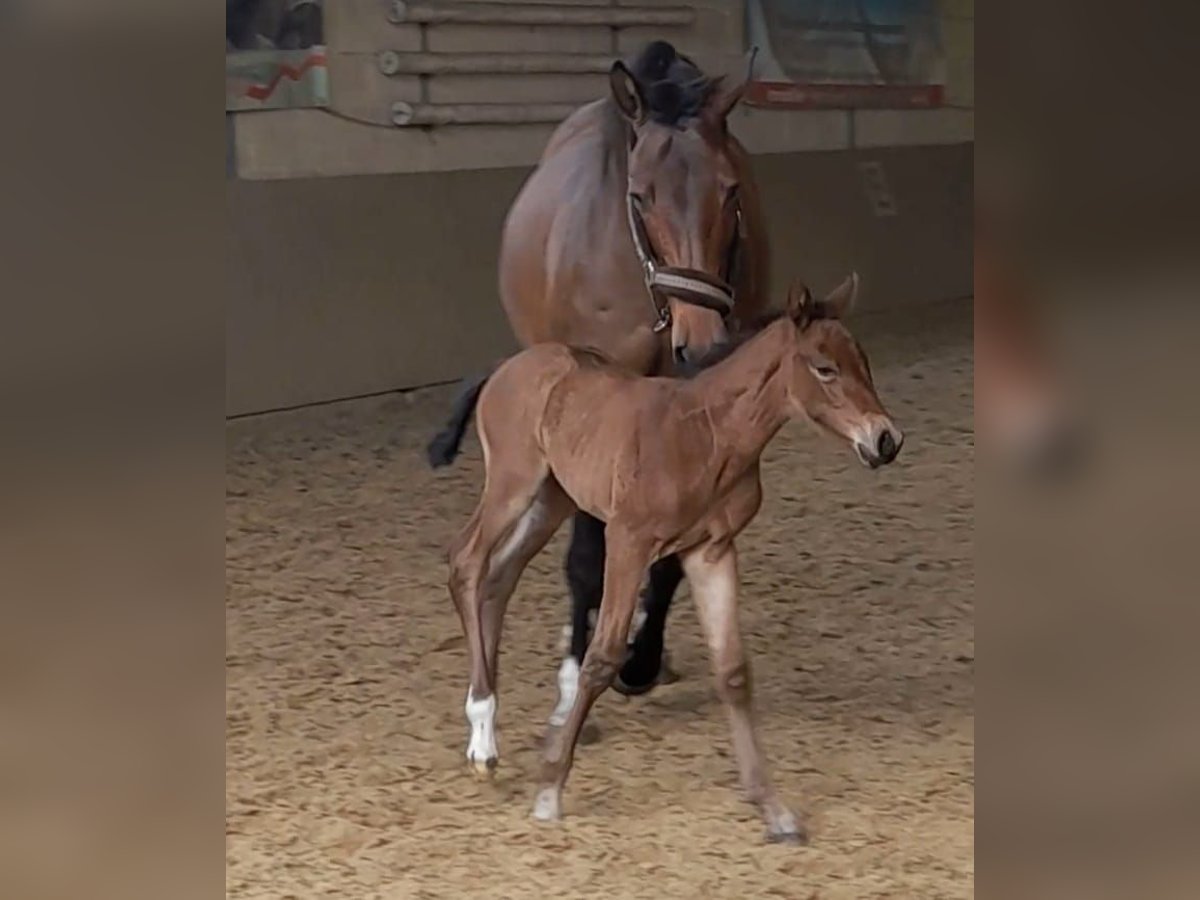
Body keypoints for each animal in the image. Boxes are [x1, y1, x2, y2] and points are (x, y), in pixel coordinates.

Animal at [432, 277, 902, 844]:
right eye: (825, 368)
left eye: (864, 363)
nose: (886, 440)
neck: (707, 434)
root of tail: (506, 365)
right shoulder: (628, 540)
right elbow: (601, 659)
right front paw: (549, 792)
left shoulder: (711, 550)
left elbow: (733, 671)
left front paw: (775, 811)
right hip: (513, 484)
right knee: (466, 561)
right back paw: (482, 736)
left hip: (551, 499)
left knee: (500, 578)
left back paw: (486, 733)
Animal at [494, 42, 768, 720]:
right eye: (640, 197)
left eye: (730, 191)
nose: (703, 343)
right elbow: (588, 554)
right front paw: (574, 682)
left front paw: (641, 659)